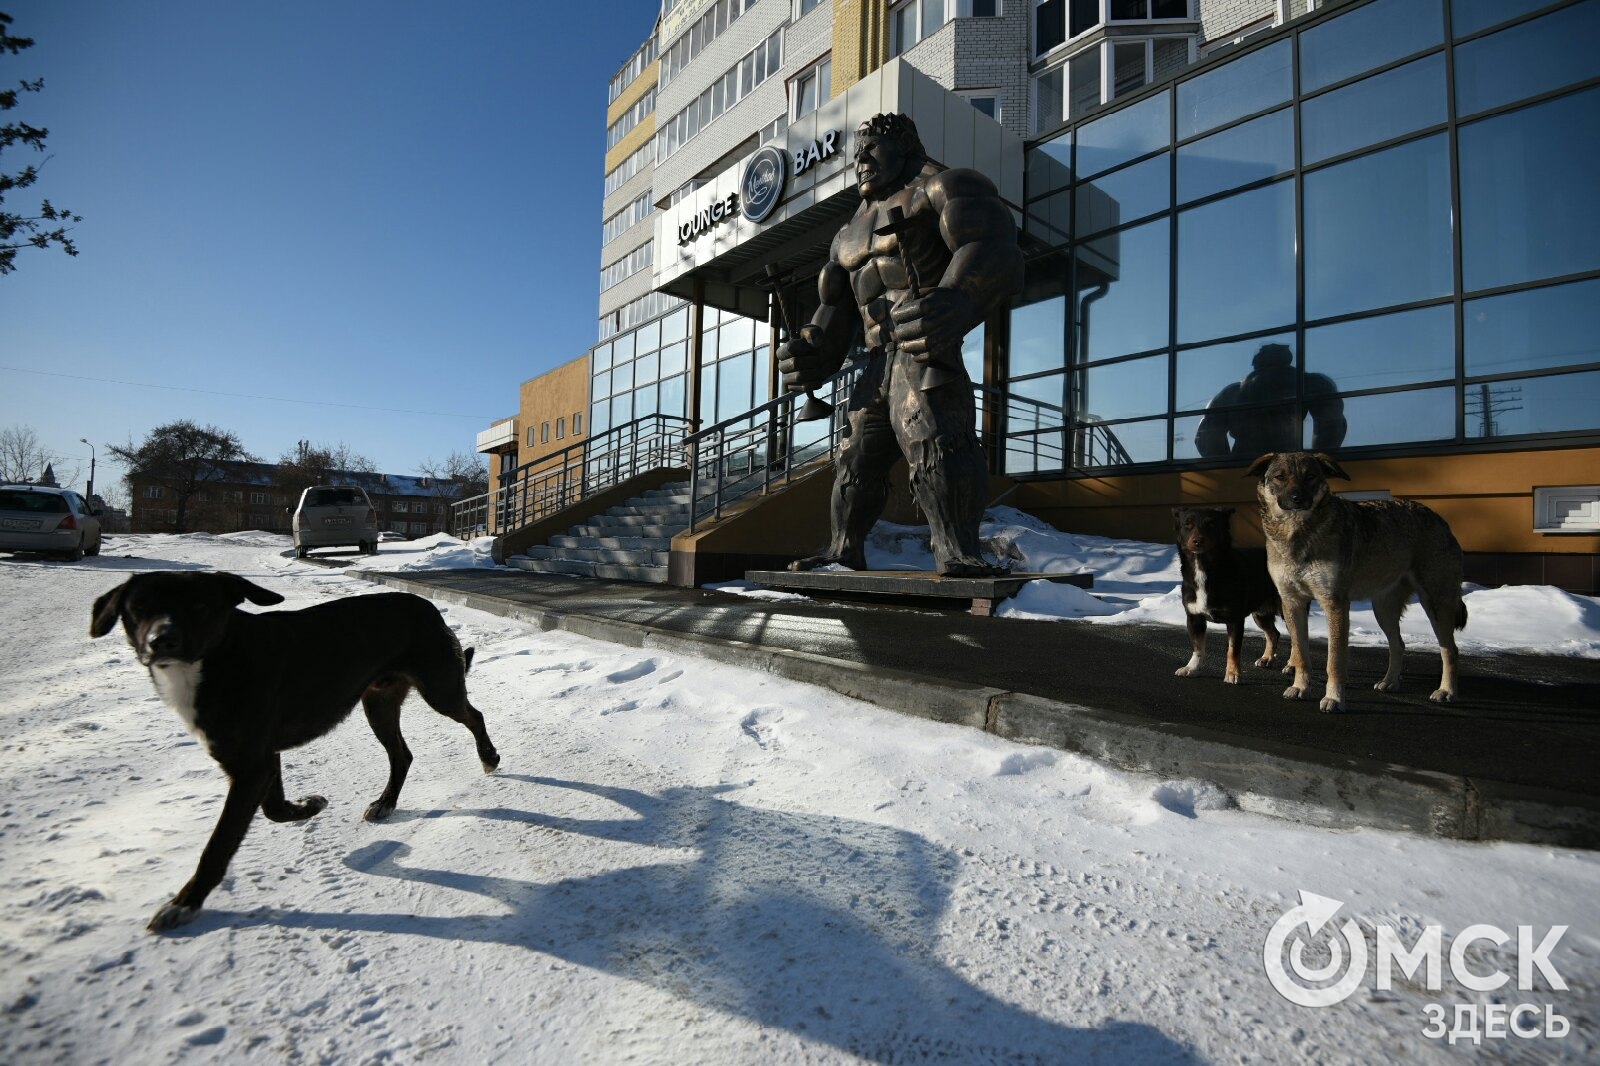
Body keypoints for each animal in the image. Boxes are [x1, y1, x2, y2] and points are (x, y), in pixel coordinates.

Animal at [89, 569, 499, 928]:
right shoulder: (261, 758)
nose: (162, 640)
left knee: (474, 715)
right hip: (379, 701)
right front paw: (308, 807)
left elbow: (220, 843)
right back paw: (386, 803)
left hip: (439, 688)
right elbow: (273, 809)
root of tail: (426, 606)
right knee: (402, 754)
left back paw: (489, 757)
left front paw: (185, 903)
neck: (218, 658)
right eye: (138, 608)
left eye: (200, 605)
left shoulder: (251, 766)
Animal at [1241, 451, 1465, 710]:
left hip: (1435, 605)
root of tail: (1441, 519)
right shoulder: (1292, 603)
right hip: (1383, 610)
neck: (1297, 533)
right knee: (1399, 645)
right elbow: (1301, 654)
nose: (1298, 499)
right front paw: (1300, 688)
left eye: (1310, 476)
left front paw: (1334, 699)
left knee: (1450, 650)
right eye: (1280, 477)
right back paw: (1390, 682)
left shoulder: (1334, 604)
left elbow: (1334, 661)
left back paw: (1446, 691)